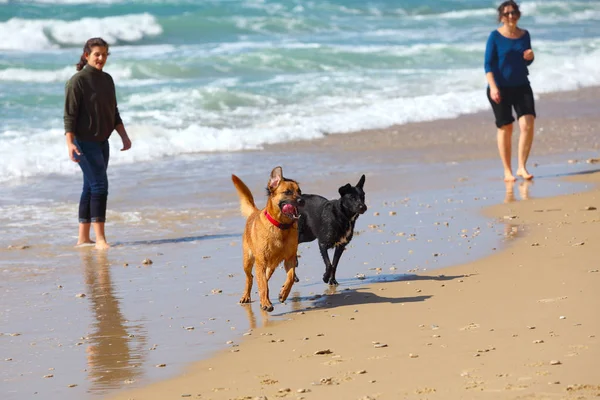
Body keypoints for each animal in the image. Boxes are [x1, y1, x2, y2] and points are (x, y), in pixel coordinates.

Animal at [231, 166, 302, 312]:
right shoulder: (261, 263)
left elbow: (291, 277)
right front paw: (266, 303)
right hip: (248, 261)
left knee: (264, 279)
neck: (281, 226)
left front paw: (284, 293)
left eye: (300, 191)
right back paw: (247, 296)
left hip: (270, 266)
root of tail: (254, 212)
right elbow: (263, 285)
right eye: (287, 192)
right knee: (250, 278)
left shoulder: (290, 259)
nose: (302, 200)